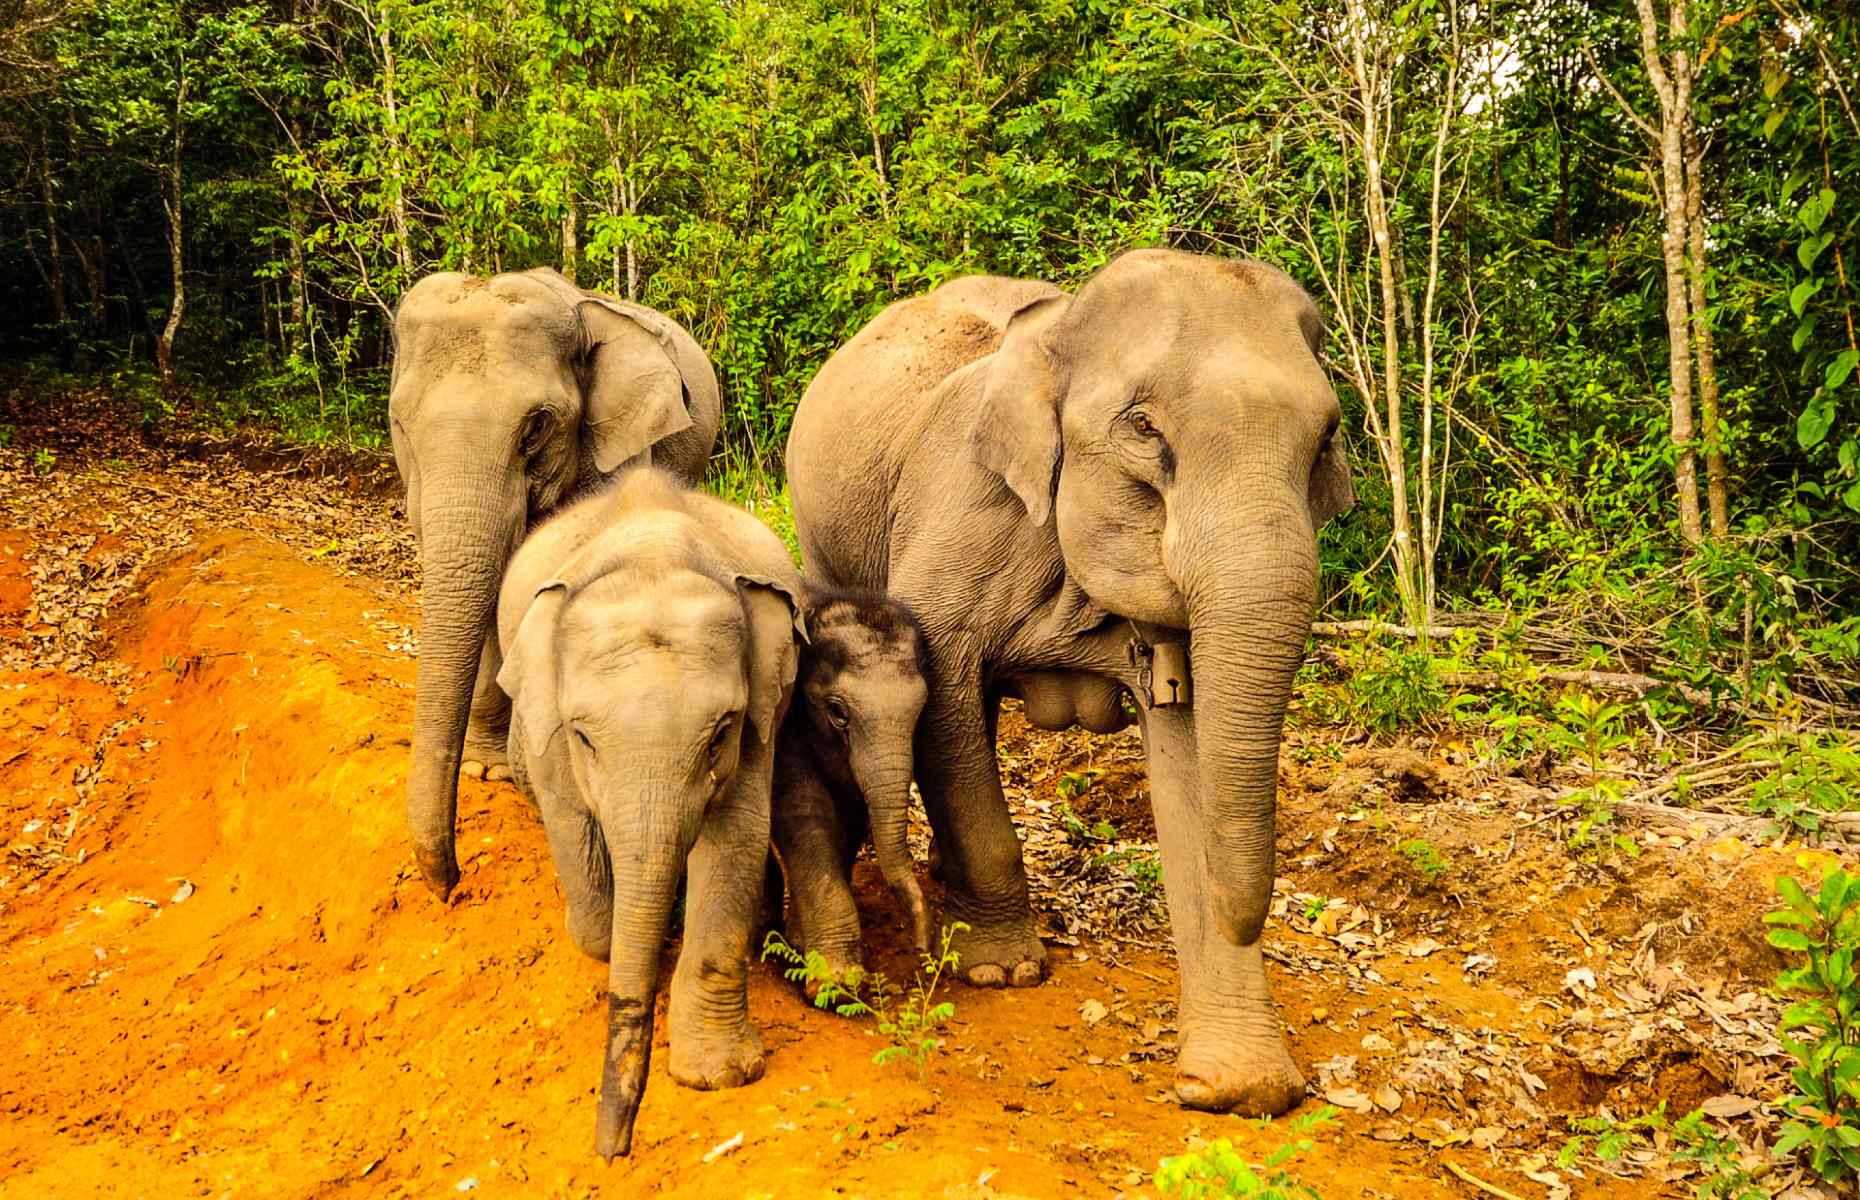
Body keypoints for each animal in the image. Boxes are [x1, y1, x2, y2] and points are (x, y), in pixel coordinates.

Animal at [494, 463, 807, 1153]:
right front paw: (629, 934)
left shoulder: (760, 713)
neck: (652, 556)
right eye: (584, 737)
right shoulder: (547, 713)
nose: (613, 1150)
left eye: (720, 733)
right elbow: (573, 831)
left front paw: (719, 1076)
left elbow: (736, 837)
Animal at [773, 584, 937, 974]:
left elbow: (851, 819)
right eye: (837, 712)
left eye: (921, 710)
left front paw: (800, 943)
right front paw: (836, 976)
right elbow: (802, 813)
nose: (923, 949)